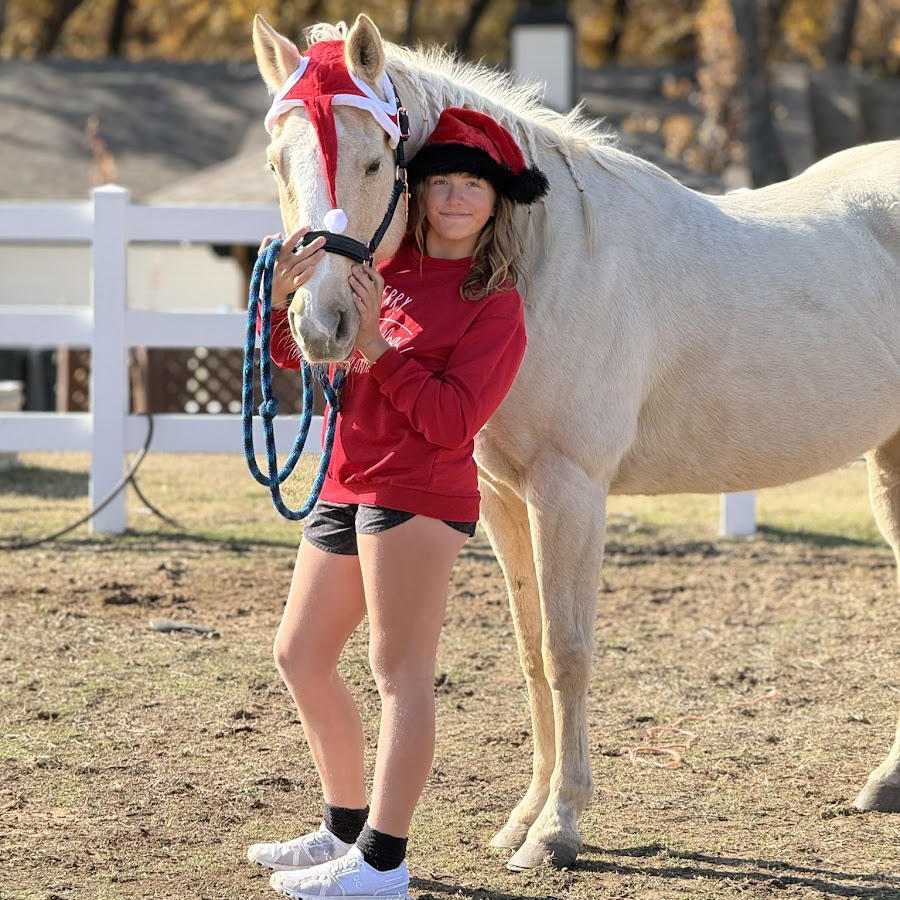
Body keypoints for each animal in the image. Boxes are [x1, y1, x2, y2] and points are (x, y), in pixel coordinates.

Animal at [252, 12, 900, 871]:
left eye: (372, 159)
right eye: (276, 162)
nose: (323, 325)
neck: (544, 264)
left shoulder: (570, 490)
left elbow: (568, 652)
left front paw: (558, 829)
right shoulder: (503, 494)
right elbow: (531, 652)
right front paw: (523, 819)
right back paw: (887, 783)